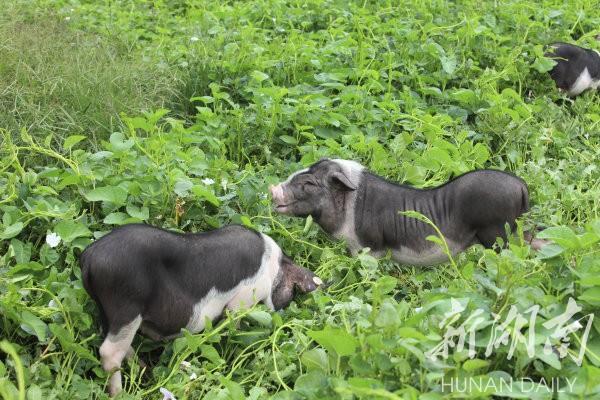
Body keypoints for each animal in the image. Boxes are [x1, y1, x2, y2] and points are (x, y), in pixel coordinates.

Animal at [82, 225, 324, 396]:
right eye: (293, 292)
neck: (273, 268)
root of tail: (89, 257)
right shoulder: (243, 299)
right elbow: (233, 325)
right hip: (127, 306)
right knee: (109, 352)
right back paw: (120, 393)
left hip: (106, 311)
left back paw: (144, 370)